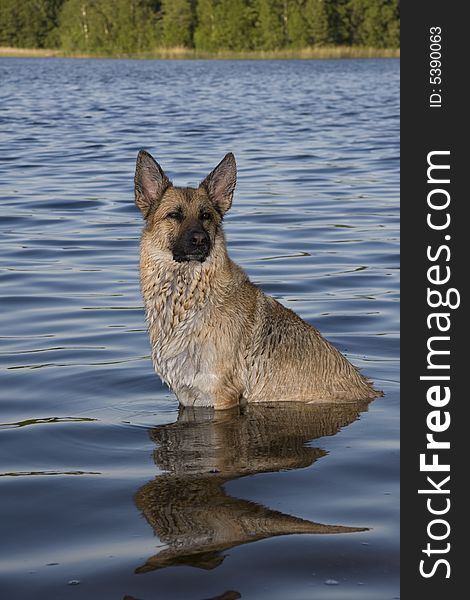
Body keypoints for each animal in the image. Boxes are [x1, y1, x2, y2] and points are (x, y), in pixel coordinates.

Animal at [135, 152, 382, 410]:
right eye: (174, 215)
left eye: (206, 216)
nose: (200, 240)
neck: (189, 297)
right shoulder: (189, 396)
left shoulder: (223, 395)